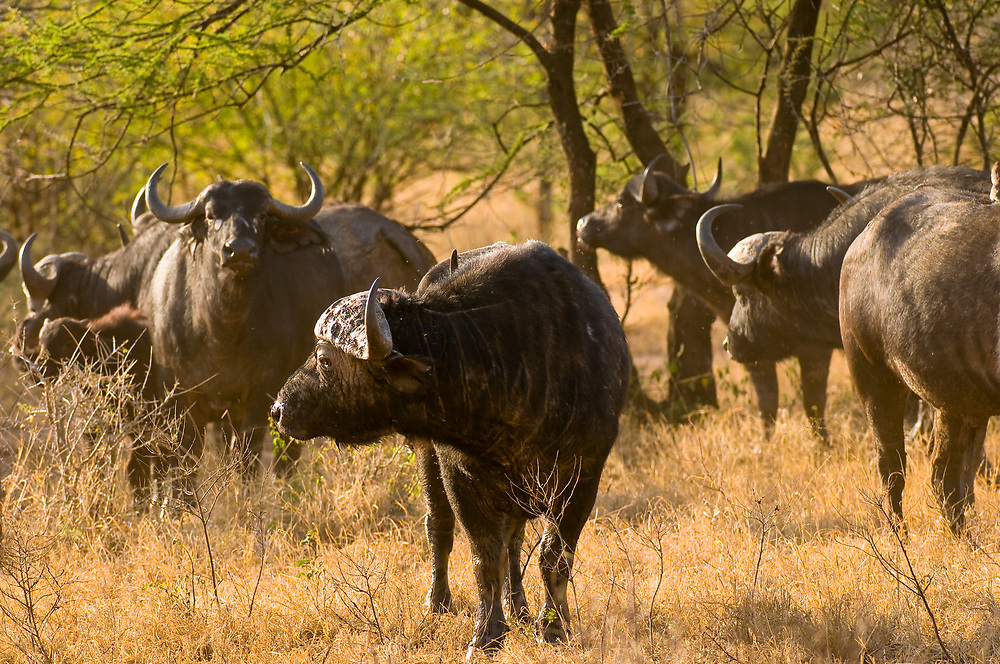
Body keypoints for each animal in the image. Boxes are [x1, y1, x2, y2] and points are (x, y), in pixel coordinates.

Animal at [270, 241, 628, 656]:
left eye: (325, 360)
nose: (279, 409)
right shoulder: (460, 476)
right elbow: (484, 558)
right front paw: (487, 635)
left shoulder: (584, 476)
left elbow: (553, 555)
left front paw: (554, 628)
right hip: (429, 456)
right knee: (439, 526)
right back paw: (438, 602)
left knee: (514, 541)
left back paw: (519, 607)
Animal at [580, 158, 876, 438]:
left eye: (621, 202)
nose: (583, 223)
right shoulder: (748, 342)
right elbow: (767, 400)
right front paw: (765, 443)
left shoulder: (813, 348)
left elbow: (813, 403)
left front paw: (822, 446)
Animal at [840, 183, 996, 536]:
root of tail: (860, 241)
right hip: (875, 382)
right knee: (892, 465)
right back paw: (901, 535)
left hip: (957, 402)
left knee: (946, 476)